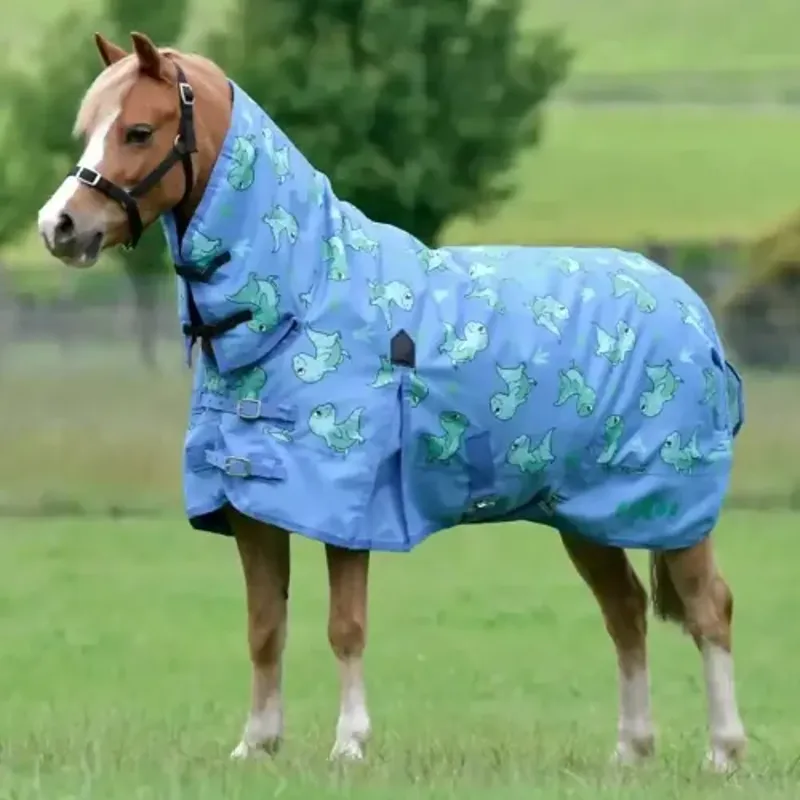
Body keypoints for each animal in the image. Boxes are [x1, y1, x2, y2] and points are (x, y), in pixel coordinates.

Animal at [38, 31, 747, 770]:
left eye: (139, 131)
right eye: (88, 128)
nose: (59, 226)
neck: (303, 296)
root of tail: (693, 313)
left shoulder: (351, 506)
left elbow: (345, 626)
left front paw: (349, 744)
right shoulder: (251, 507)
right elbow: (265, 626)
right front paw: (256, 743)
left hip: (673, 512)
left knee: (709, 609)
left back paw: (723, 752)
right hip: (586, 514)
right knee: (627, 611)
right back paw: (631, 752)